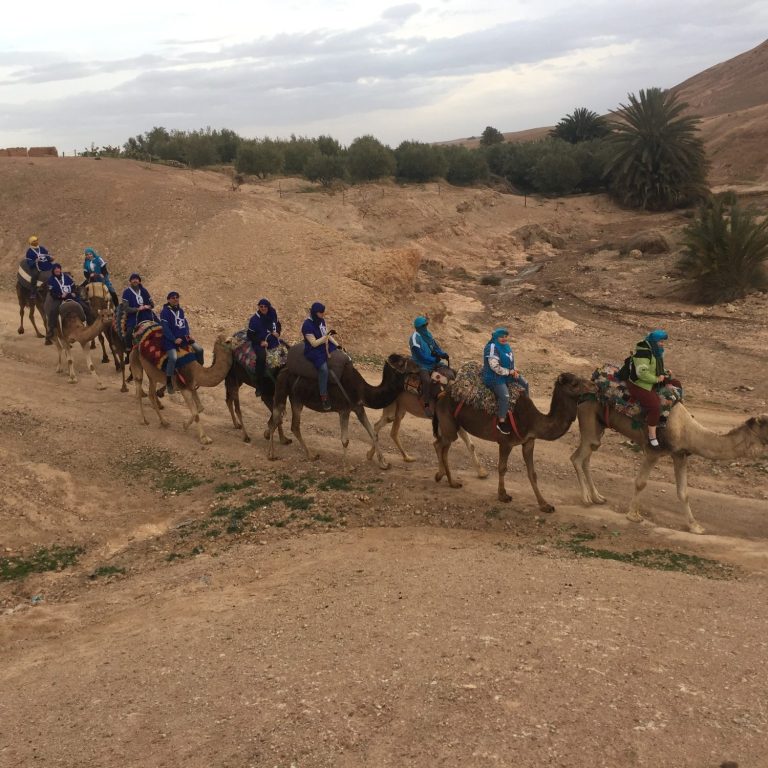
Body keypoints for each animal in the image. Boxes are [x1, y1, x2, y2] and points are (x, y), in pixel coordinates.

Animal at [267, 353, 421, 468]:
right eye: (401, 362)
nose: (418, 366)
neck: (362, 390)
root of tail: (282, 370)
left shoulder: (358, 407)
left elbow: (373, 434)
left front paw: (384, 463)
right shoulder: (344, 409)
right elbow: (345, 440)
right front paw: (348, 467)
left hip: (296, 399)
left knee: (294, 426)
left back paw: (311, 456)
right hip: (282, 391)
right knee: (275, 420)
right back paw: (271, 454)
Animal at [433, 373, 595, 508]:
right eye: (574, 383)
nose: (595, 385)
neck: (533, 421)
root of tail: (441, 395)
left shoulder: (528, 442)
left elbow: (532, 473)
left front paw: (544, 504)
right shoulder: (506, 443)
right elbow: (502, 468)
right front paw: (502, 495)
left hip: (452, 425)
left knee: (440, 445)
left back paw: (445, 478)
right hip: (448, 423)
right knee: (441, 446)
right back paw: (447, 479)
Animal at [571, 400, 768, 534]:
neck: (686, 430)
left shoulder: (679, 455)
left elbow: (683, 492)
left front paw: (695, 526)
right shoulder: (653, 451)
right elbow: (641, 483)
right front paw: (633, 515)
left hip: (599, 425)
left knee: (587, 456)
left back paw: (597, 497)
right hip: (588, 418)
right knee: (577, 457)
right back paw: (586, 499)